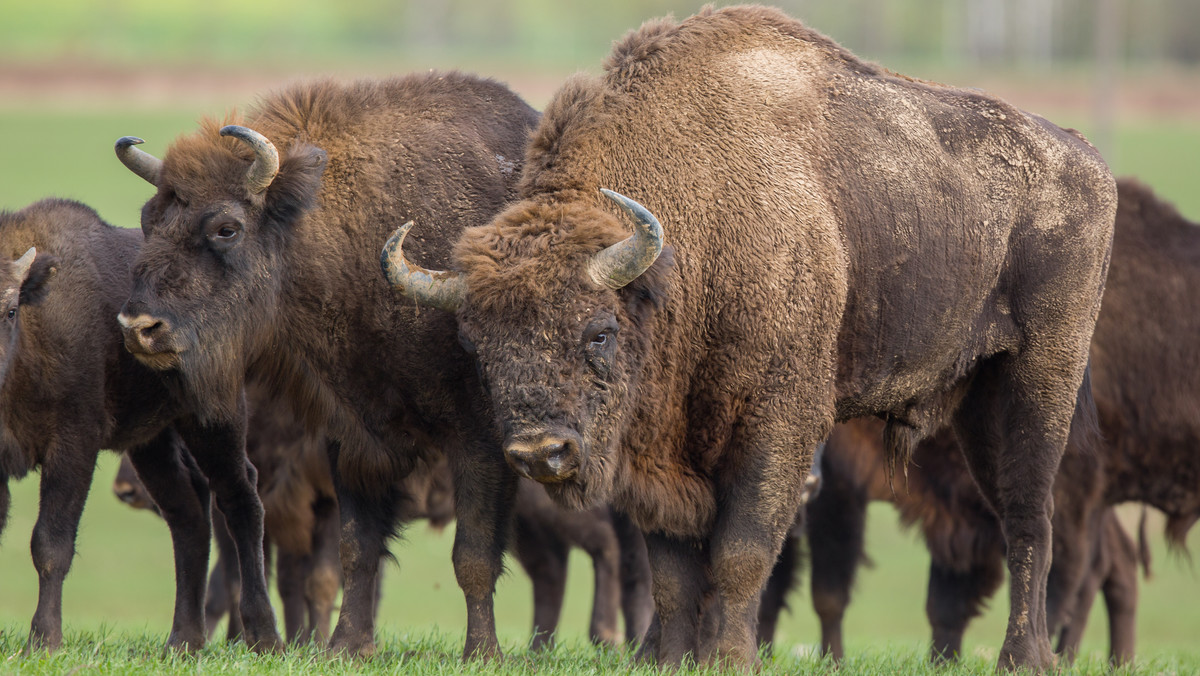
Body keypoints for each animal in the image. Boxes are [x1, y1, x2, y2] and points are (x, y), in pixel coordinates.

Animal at [0, 198, 278, 653]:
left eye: (9, 310)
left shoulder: (73, 446)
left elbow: (51, 543)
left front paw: (44, 639)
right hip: (153, 443)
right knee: (188, 516)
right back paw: (183, 641)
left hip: (214, 422)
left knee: (240, 500)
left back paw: (264, 636)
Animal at [113, 71, 540, 657]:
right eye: (147, 220)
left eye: (226, 228)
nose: (139, 327)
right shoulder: (353, 437)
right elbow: (357, 549)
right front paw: (345, 646)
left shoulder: (479, 440)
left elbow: (472, 555)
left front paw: (481, 653)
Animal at [388, 6, 1118, 672]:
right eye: (476, 347)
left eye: (598, 332)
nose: (542, 452)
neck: (693, 238)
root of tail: (1088, 160)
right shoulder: (658, 453)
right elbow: (673, 570)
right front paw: (671, 661)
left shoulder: (777, 425)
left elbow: (741, 553)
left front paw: (732, 659)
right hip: (975, 400)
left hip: (1039, 376)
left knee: (1029, 518)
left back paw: (1026, 659)